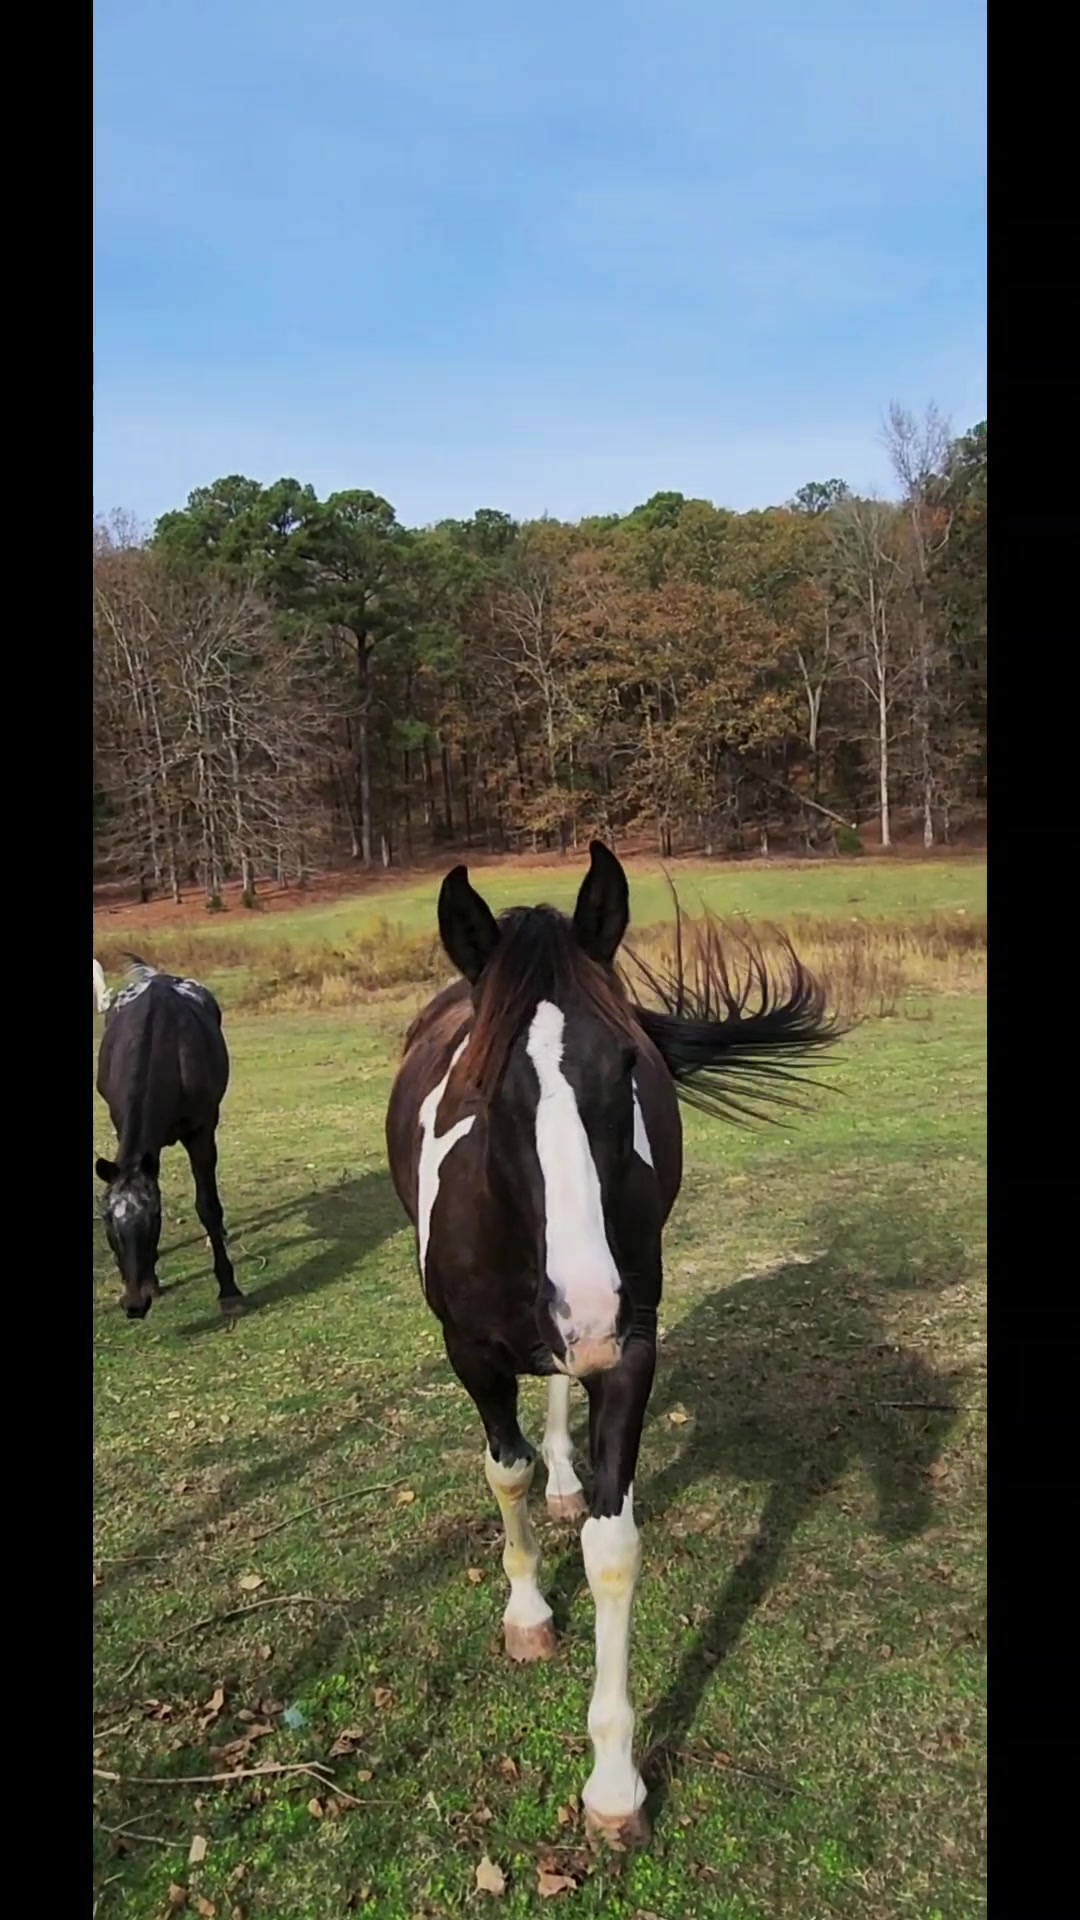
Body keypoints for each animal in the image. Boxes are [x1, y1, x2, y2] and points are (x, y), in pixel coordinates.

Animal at [94, 960, 242, 1320]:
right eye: (107, 1221)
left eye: (154, 1219)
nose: (134, 1303)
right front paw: (154, 1280)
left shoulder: (201, 1132)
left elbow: (207, 1207)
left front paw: (229, 1290)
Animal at [386, 840, 841, 1843]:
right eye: (482, 1088)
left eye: (628, 1063)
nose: (587, 1305)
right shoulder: (470, 1352)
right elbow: (505, 1473)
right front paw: (526, 1611)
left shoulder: (629, 1353)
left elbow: (612, 1547)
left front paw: (614, 1783)